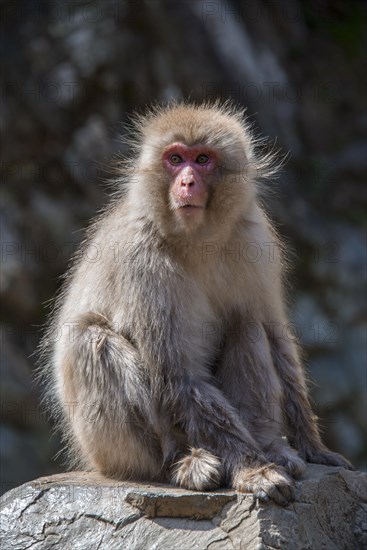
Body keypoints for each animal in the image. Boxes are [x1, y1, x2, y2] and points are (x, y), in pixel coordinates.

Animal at [41, 101, 356, 506]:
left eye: (203, 159)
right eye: (175, 158)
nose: (187, 182)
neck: (196, 239)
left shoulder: (256, 240)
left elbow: (274, 335)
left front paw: (313, 448)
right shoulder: (140, 259)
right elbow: (178, 375)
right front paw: (253, 469)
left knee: (246, 324)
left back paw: (273, 447)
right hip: (106, 448)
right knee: (94, 340)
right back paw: (182, 462)